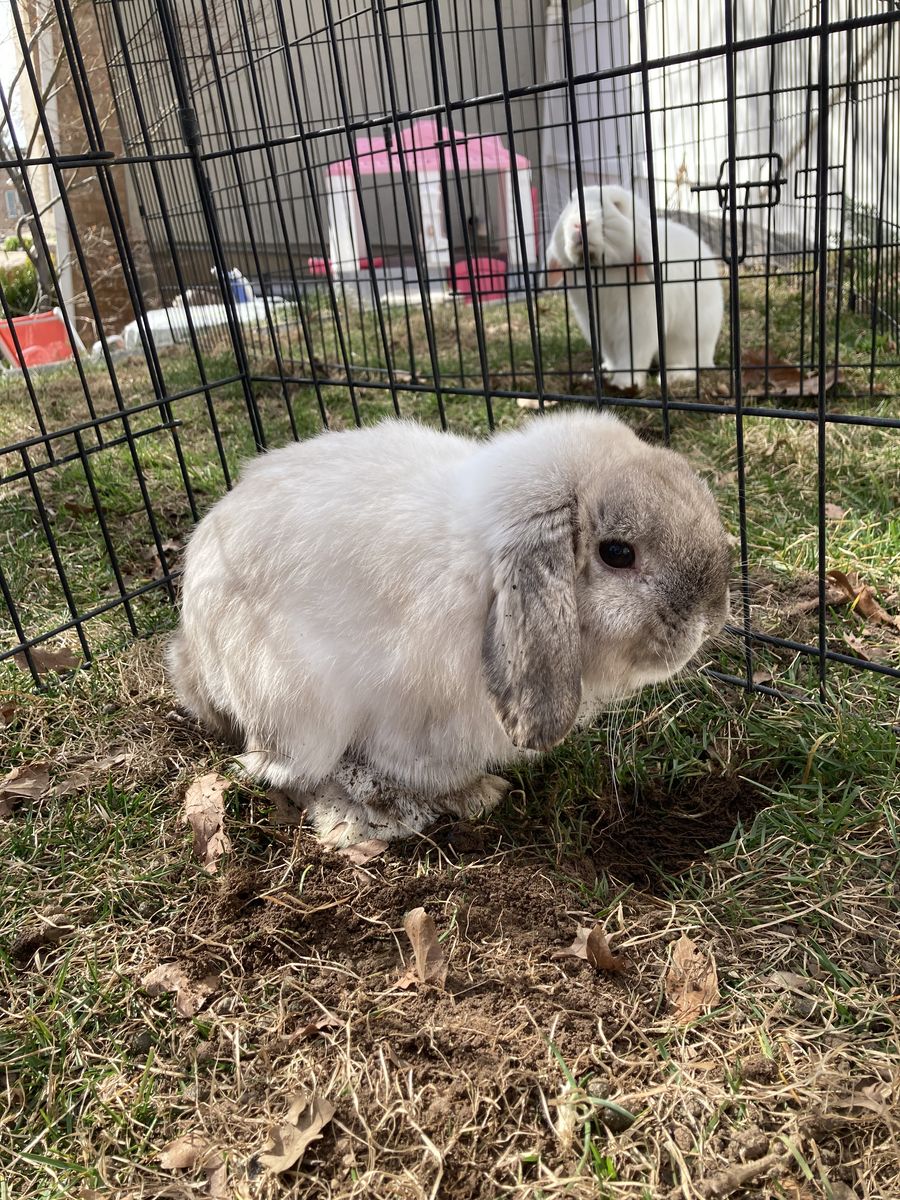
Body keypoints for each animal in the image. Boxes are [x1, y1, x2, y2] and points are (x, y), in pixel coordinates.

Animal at [167, 411, 731, 847]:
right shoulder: (415, 725)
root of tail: (194, 657)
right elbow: (430, 772)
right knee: (275, 766)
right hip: (296, 707)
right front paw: (480, 794)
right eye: (617, 553)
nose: (712, 617)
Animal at [546, 184, 724, 391]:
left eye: (617, 205)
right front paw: (608, 374)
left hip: (684, 343)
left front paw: (624, 384)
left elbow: (632, 357)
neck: (602, 274)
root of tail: (709, 356)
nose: (579, 223)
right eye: (572, 200)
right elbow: (613, 356)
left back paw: (671, 377)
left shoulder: (638, 326)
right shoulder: (599, 329)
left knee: (691, 367)